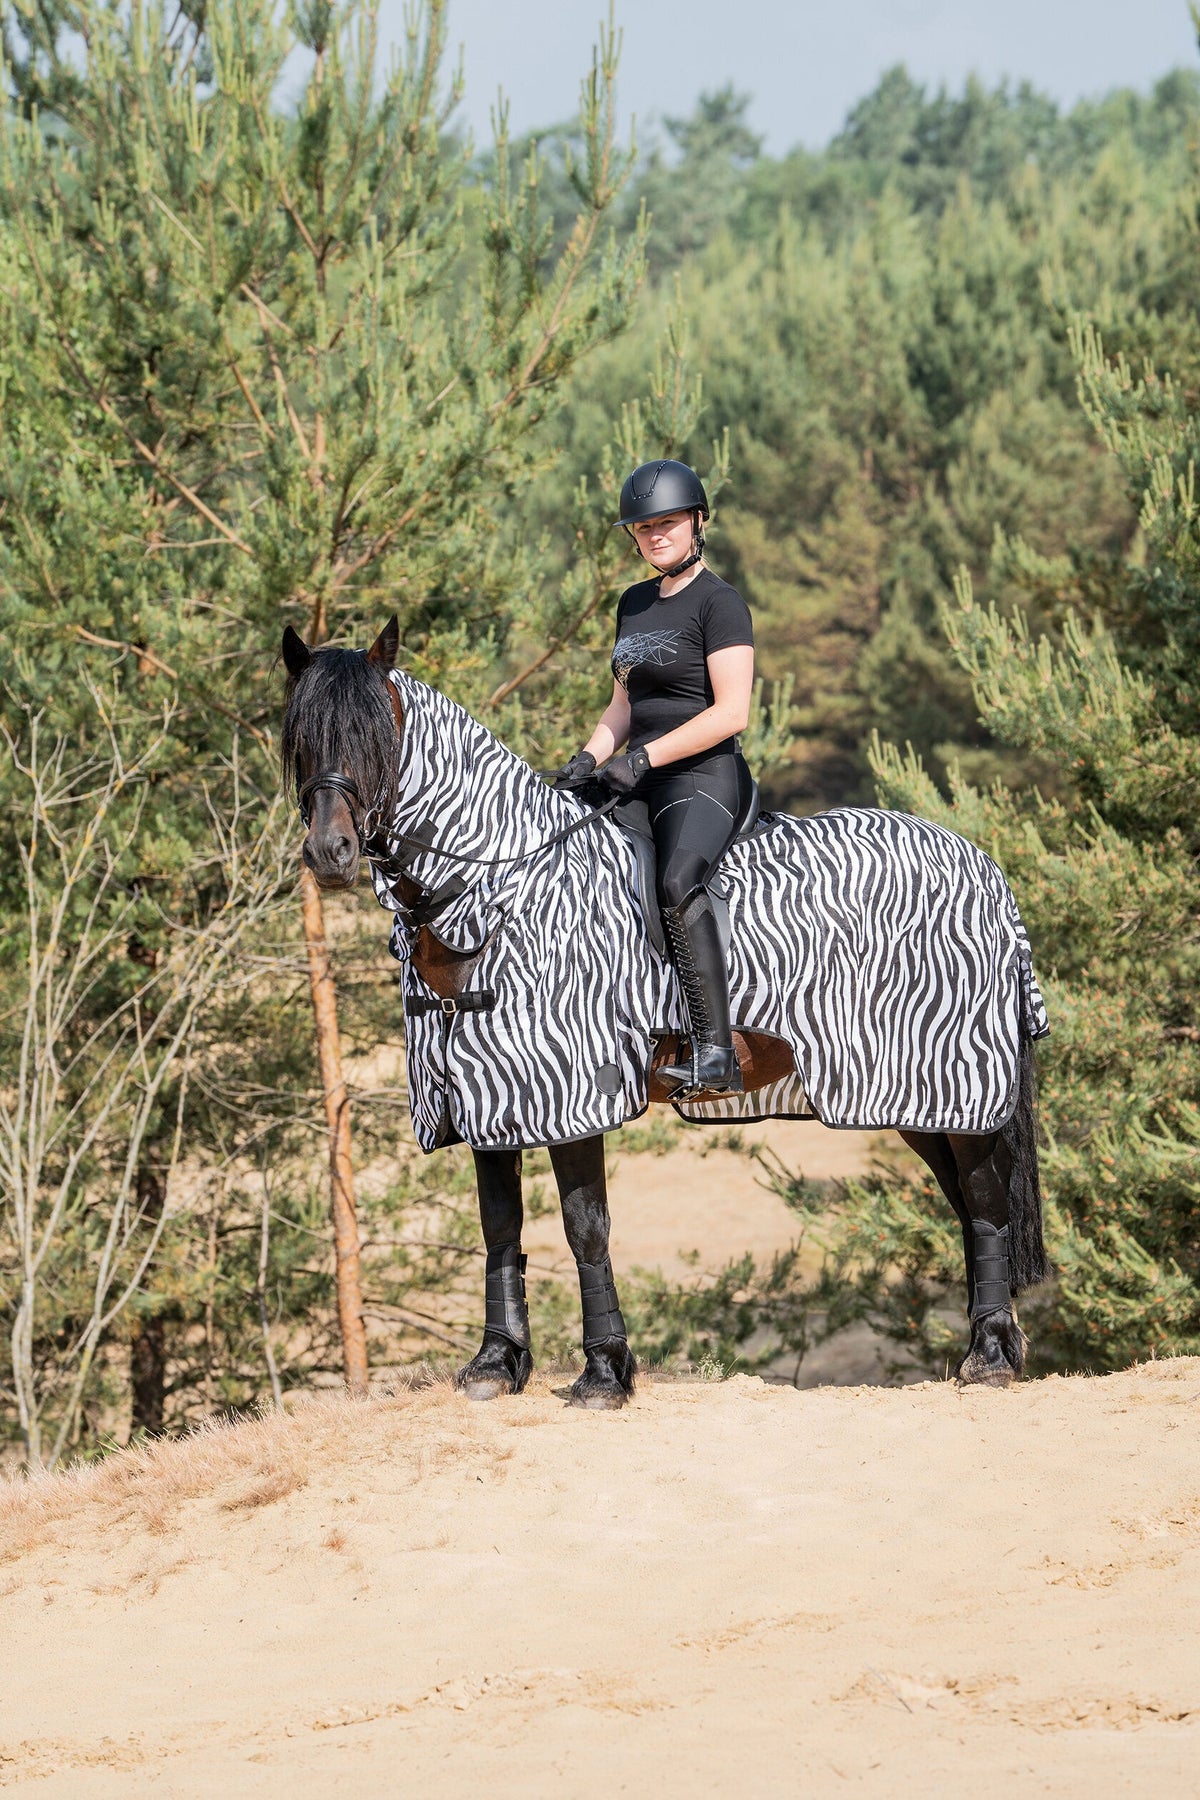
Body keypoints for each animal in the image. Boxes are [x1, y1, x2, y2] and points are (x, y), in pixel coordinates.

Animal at [281, 617, 1051, 1407]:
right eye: (300, 736)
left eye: (377, 735)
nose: (330, 853)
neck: (500, 893)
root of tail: (985, 868)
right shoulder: (481, 1099)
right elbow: (499, 1228)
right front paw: (496, 1362)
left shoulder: (569, 1091)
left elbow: (585, 1226)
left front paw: (604, 1371)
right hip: (919, 1101)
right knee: (967, 1201)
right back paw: (987, 1345)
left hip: (949, 1080)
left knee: (986, 1200)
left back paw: (991, 1357)